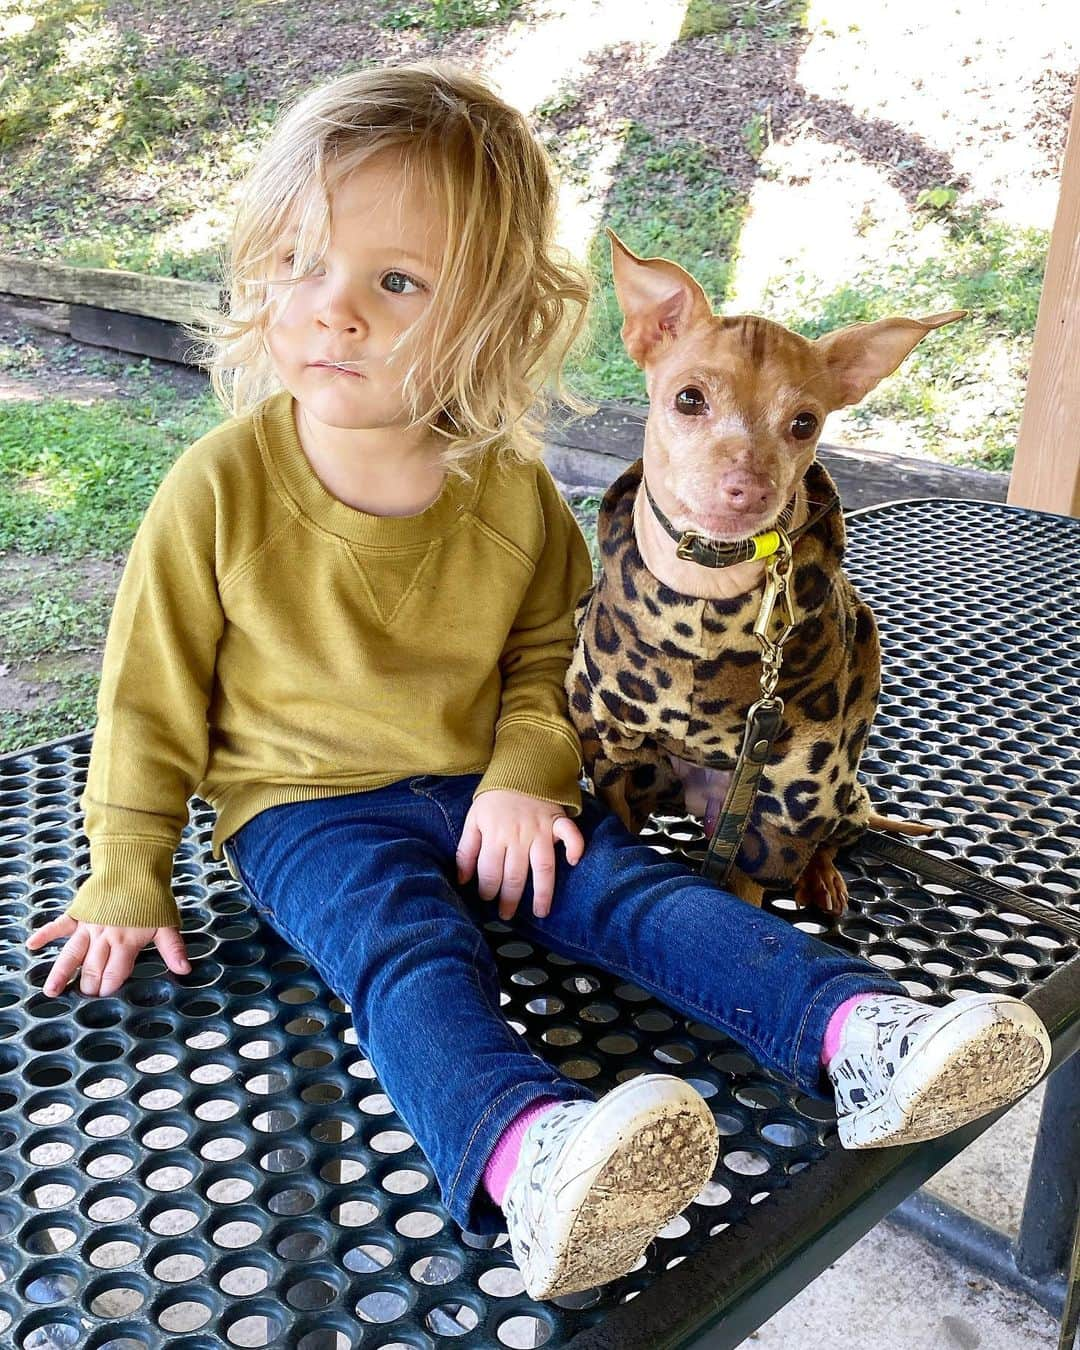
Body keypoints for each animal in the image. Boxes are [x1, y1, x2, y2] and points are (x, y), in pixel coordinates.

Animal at [564, 229, 961, 918]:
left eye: (805, 422)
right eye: (689, 398)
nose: (747, 489)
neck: (704, 598)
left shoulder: (781, 796)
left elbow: (746, 888)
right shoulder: (616, 754)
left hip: (831, 792)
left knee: (831, 835)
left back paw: (823, 878)